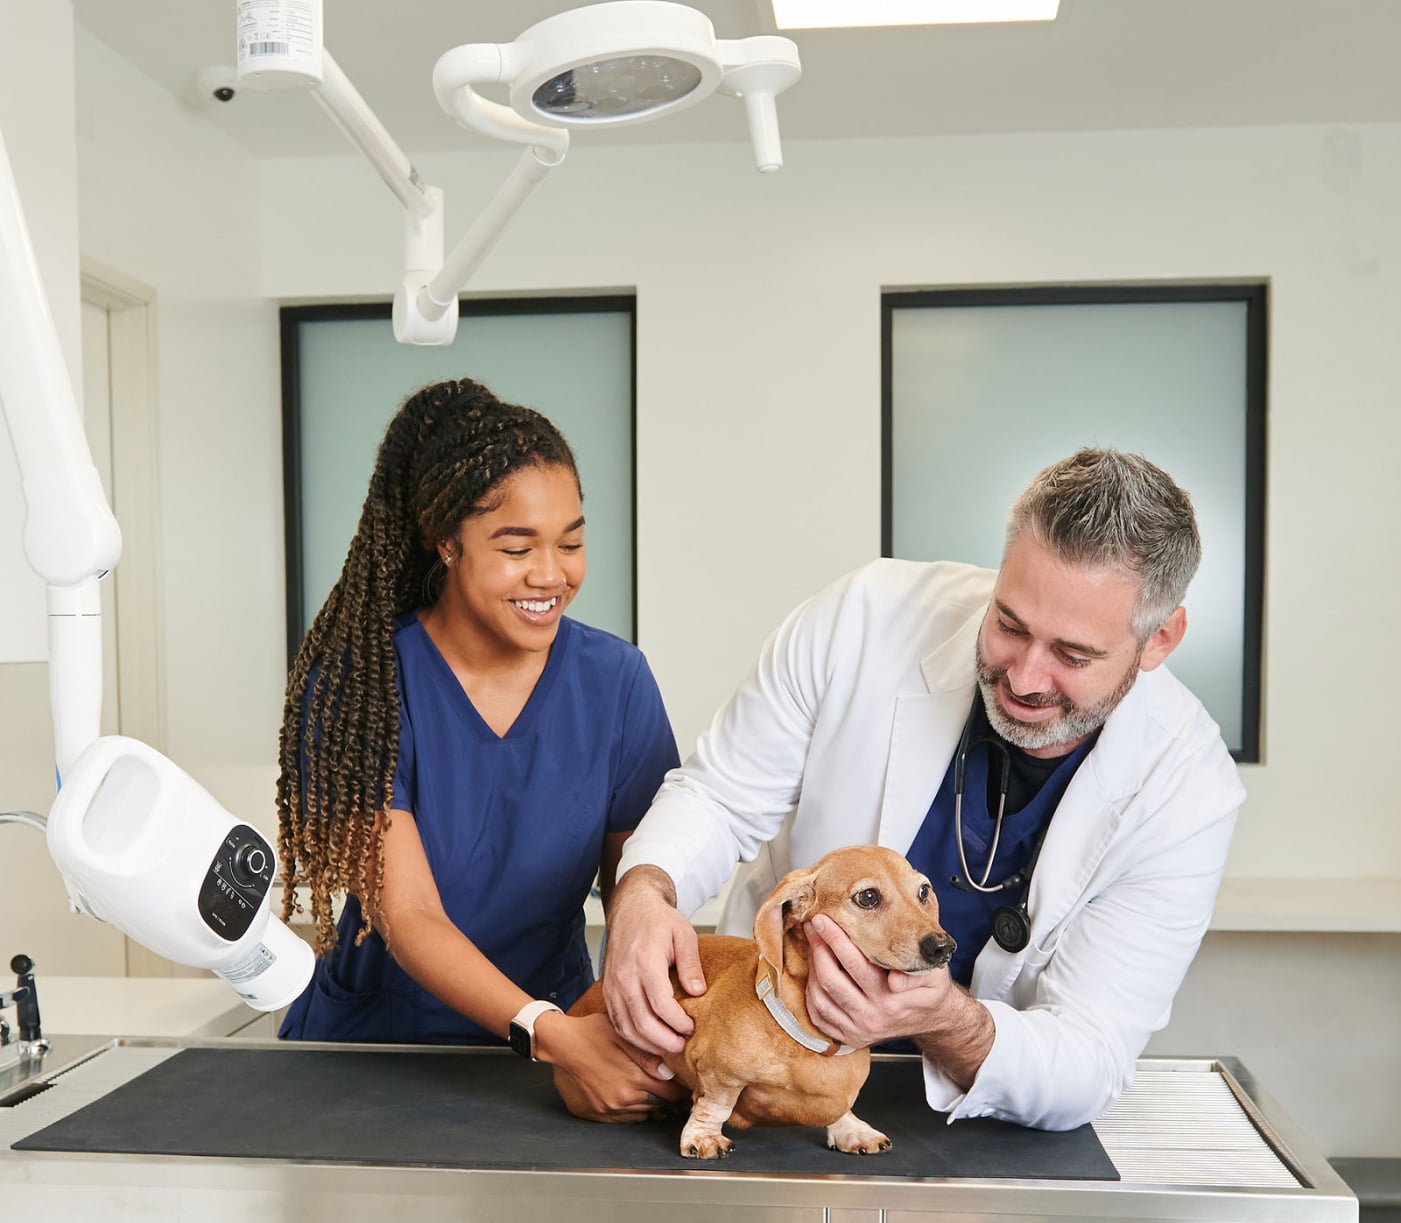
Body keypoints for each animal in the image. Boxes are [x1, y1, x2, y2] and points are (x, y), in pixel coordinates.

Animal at [551, 846, 958, 1159]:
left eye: (923, 891)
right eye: (868, 897)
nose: (943, 947)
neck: (809, 1035)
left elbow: (838, 1109)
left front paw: (850, 1129)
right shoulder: (718, 1072)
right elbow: (716, 1104)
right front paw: (703, 1136)